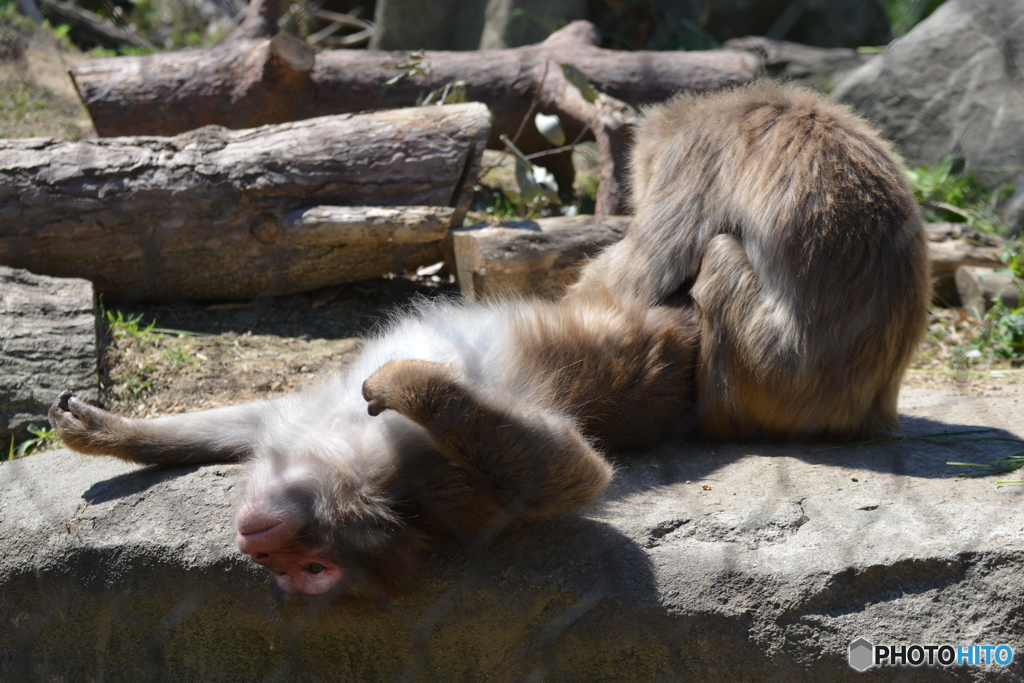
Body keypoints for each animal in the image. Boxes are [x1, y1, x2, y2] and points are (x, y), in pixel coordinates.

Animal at [51, 296, 700, 593]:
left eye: (313, 568)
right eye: (294, 570)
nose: (269, 563)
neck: (356, 456)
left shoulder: (434, 478)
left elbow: (575, 471)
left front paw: (411, 384)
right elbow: (250, 423)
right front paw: (105, 431)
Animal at [573, 81, 933, 444]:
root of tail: (865, 416)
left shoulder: (692, 158)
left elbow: (632, 284)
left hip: (777, 380)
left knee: (719, 256)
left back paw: (716, 425)